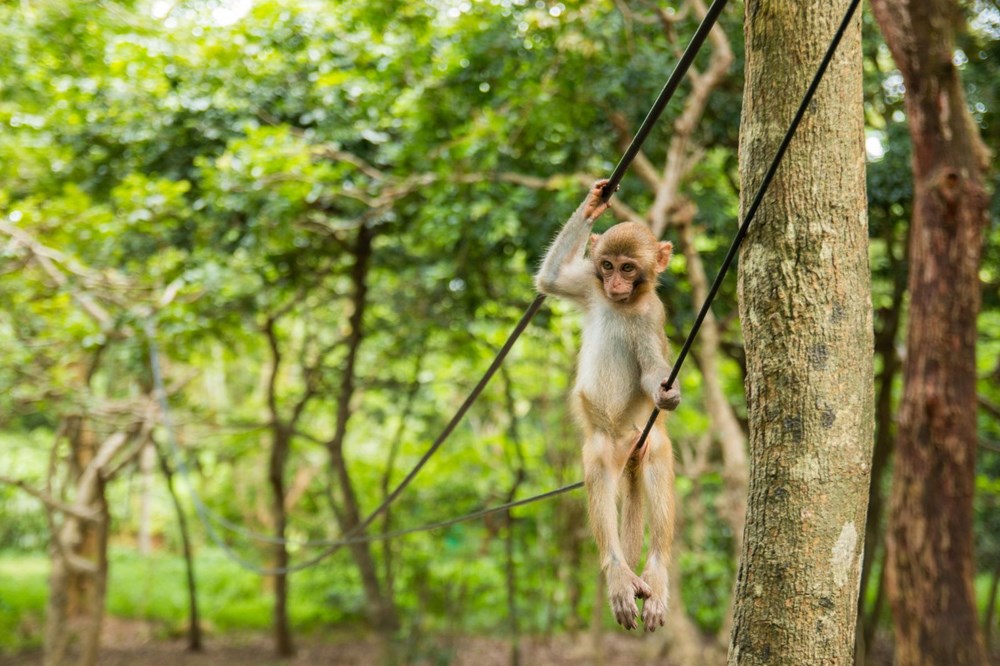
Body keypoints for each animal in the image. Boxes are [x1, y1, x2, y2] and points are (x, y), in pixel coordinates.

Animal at [540, 180, 680, 628]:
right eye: (607, 265)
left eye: (629, 269)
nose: (615, 284)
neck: (624, 305)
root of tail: (624, 449)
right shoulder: (589, 284)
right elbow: (550, 279)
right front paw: (594, 203)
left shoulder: (652, 317)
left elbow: (652, 369)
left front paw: (666, 392)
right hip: (607, 443)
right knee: (598, 467)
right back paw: (618, 572)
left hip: (641, 437)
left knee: (655, 456)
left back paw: (654, 572)